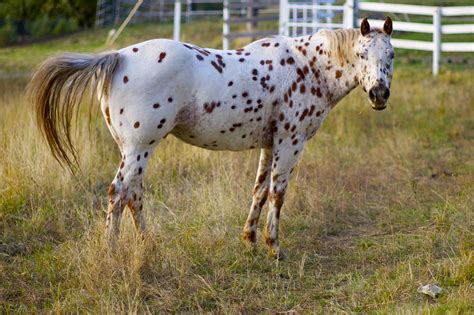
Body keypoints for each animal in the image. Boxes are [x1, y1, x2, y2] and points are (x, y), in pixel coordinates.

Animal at [27, 16, 394, 260]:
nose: (379, 95)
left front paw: (249, 239)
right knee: (119, 193)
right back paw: (111, 251)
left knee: (133, 195)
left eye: (389, 55)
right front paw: (275, 248)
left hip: (134, 150)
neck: (308, 67)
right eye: (362, 55)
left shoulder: (269, 144)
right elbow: (278, 195)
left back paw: (148, 245)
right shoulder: (291, 143)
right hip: (139, 148)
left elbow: (259, 191)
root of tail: (118, 57)